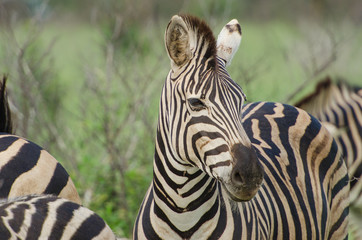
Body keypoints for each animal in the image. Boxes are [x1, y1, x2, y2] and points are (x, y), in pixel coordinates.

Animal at [132, 14, 348, 238]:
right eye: (195, 103)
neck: (183, 216)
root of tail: (282, 104)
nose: (250, 176)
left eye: (240, 101)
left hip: (339, 225)